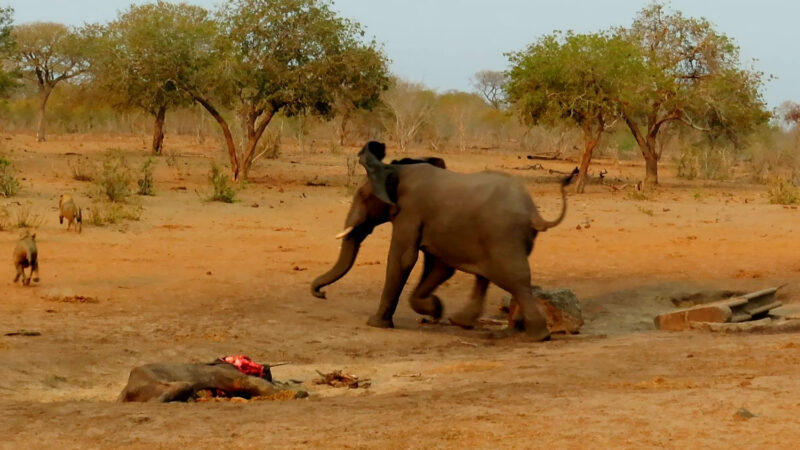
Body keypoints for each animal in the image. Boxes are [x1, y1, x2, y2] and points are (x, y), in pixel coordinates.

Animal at [310, 141, 580, 342]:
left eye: (362, 197)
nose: (321, 294)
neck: (395, 170)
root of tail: (534, 214)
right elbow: (439, 267)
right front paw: (436, 309)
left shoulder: (410, 213)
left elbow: (403, 259)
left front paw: (376, 324)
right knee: (487, 277)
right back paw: (461, 322)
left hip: (504, 237)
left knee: (516, 281)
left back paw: (538, 336)